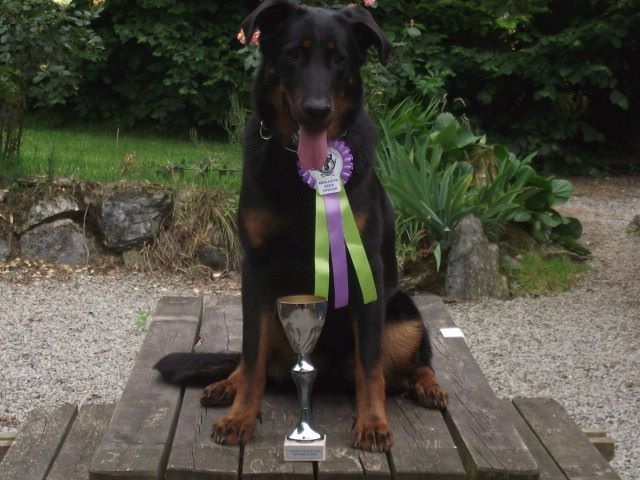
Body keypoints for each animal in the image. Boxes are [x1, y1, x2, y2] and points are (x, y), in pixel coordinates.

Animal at [155, 0, 447, 452]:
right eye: (294, 54)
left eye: (339, 59)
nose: (316, 110)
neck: (301, 173)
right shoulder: (256, 271)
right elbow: (252, 354)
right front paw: (241, 415)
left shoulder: (367, 272)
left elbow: (370, 365)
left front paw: (372, 422)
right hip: (277, 314)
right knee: (253, 360)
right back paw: (227, 384)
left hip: (402, 313)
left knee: (410, 362)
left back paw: (427, 385)